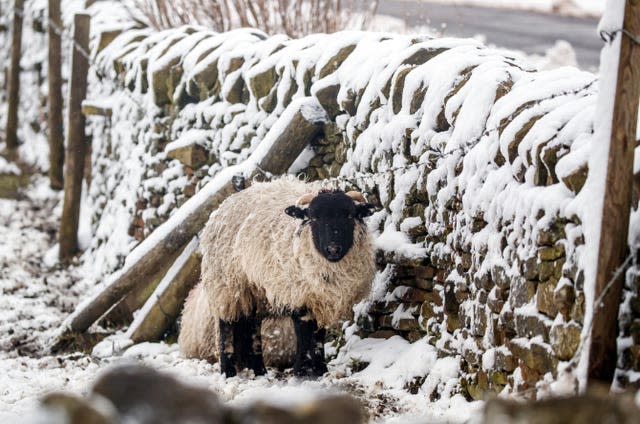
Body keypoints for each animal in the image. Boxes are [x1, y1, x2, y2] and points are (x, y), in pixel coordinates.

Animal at [178, 177, 378, 376]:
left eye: (350, 216)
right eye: (314, 218)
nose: (333, 249)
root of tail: (223, 206)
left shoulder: (319, 298)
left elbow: (319, 336)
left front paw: (320, 369)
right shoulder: (297, 293)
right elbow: (304, 333)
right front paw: (303, 370)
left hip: (255, 290)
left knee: (252, 327)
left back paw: (259, 370)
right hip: (226, 285)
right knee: (225, 325)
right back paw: (228, 371)